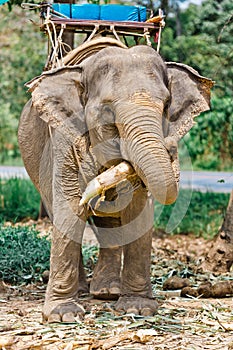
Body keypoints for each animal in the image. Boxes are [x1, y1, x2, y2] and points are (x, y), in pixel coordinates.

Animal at [18, 38, 213, 322]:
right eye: (108, 110)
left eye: (167, 106)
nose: (171, 149)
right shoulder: (64, 139)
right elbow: (69, 208)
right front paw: (63, 316)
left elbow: (138, 211)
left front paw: (137, 309)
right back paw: (85, 290)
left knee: (109, 223)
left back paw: (107, 292)